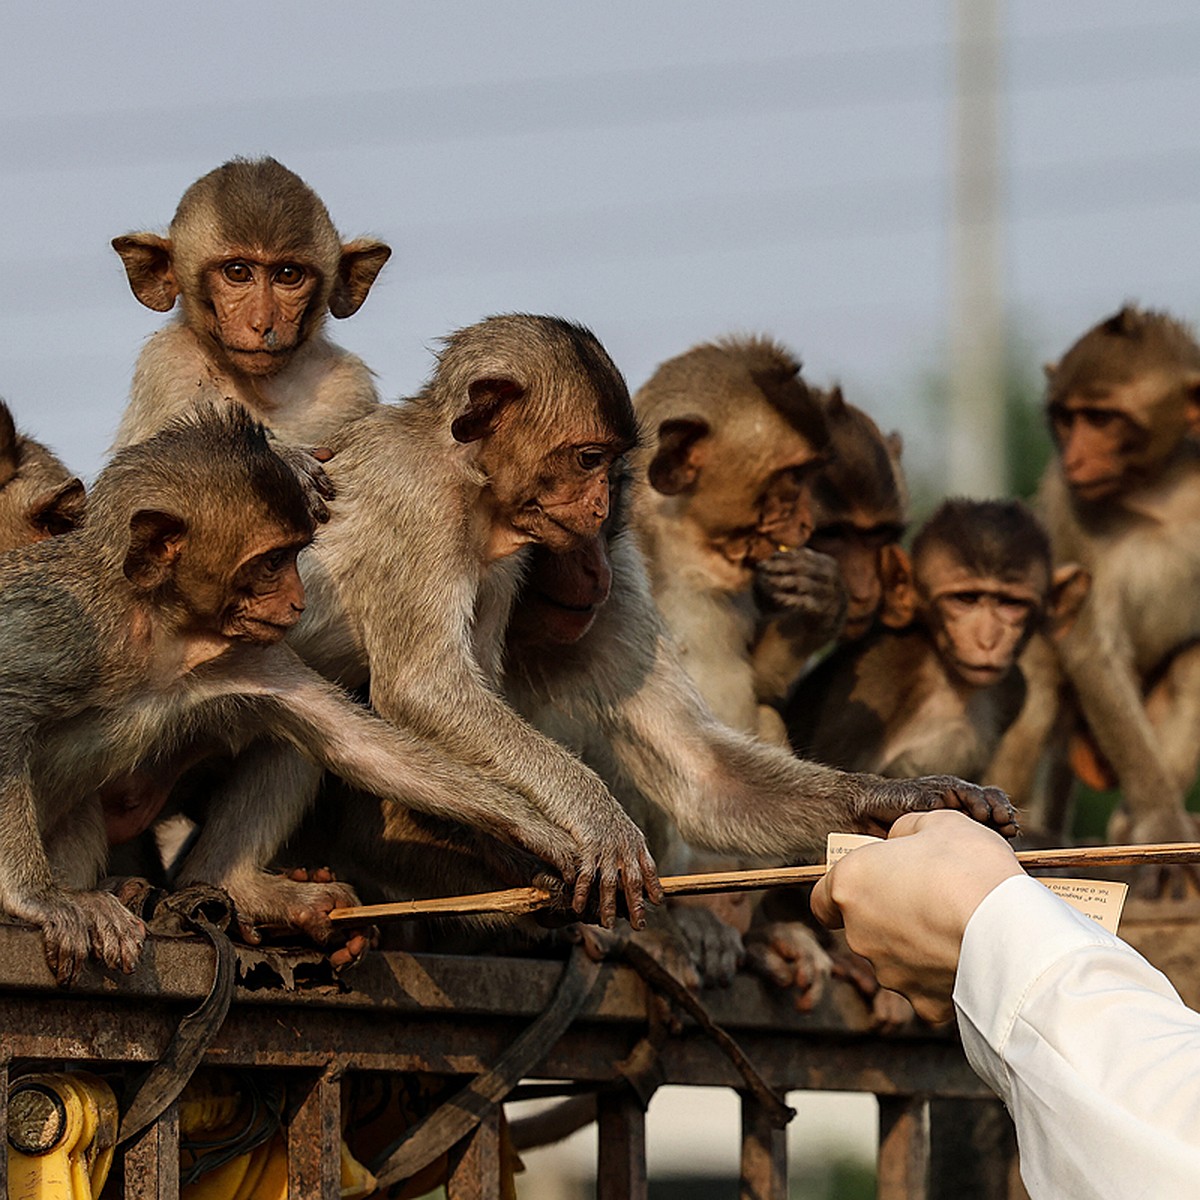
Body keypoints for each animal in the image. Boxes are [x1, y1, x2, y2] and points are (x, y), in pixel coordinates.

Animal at [111, 154, 391, 446]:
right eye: (238, 272)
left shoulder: (351, 385)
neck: (262, 389)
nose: (262, 324)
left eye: (288, 275)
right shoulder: (169, 365)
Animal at [787, 494, 1089, 777]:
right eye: (965, 599)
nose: (987, 640)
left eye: (1011, 603)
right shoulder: (879, 678)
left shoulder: (1014, 689)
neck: (949, 680)